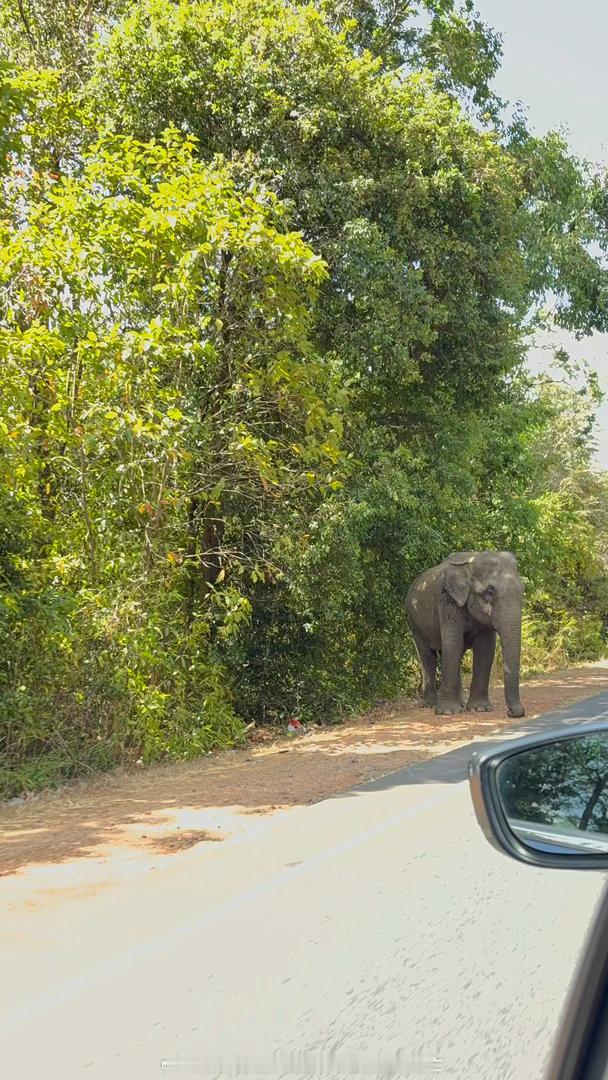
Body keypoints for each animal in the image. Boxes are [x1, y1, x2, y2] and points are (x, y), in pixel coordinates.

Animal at [405, 550, 525, 718]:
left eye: (522, 592)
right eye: (489, 593)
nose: (511, 712)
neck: (470, 565)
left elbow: (485, 649)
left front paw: (480, 709)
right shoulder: (448, 601)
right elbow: (453, 643)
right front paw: (448, 712)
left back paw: (460, 704)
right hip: (414, 622)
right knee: (428, 657)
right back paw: (432, 704)